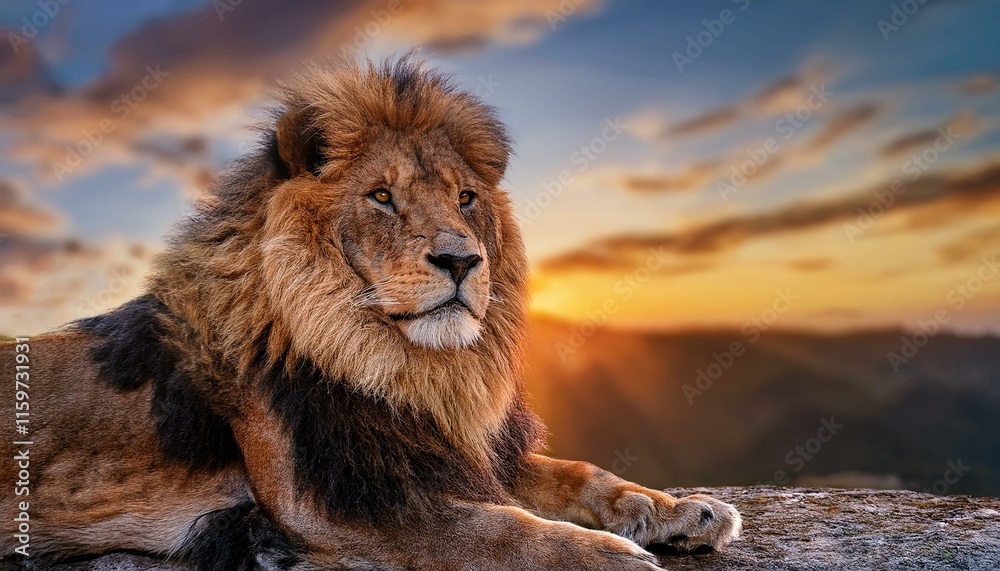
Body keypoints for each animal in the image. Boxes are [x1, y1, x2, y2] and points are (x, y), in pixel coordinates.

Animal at [1, 57, 740, 570]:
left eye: (466, 197)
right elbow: (496, 528)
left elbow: (578, 473)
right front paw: (607, 555)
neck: (395, 360)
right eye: (381, 196)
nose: (461, 260)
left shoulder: (440, 449)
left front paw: (682, 509)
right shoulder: (327, 499)